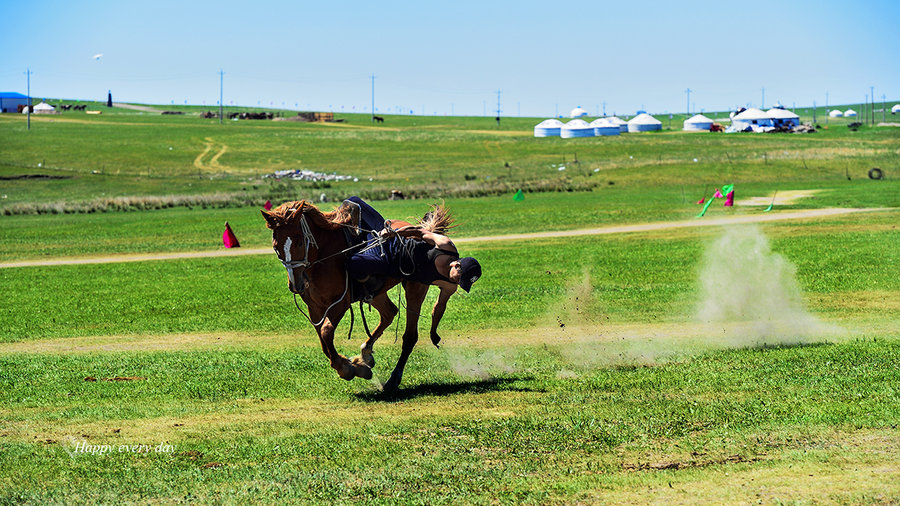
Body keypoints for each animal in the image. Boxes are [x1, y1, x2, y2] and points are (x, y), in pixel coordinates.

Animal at [264, 200, 450, 390]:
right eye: (276, 246)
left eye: (300, 243)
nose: (296, 284)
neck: (324, 257)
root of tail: (424, 231)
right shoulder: (314, 308)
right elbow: (323, 341)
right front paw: (354, 365)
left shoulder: (340, 303)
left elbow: (326, 331)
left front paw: (347, 368)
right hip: (377, 294)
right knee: (389, 313)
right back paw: (366, 353)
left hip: (415, 288)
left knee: (409, 336)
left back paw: (393, 378)